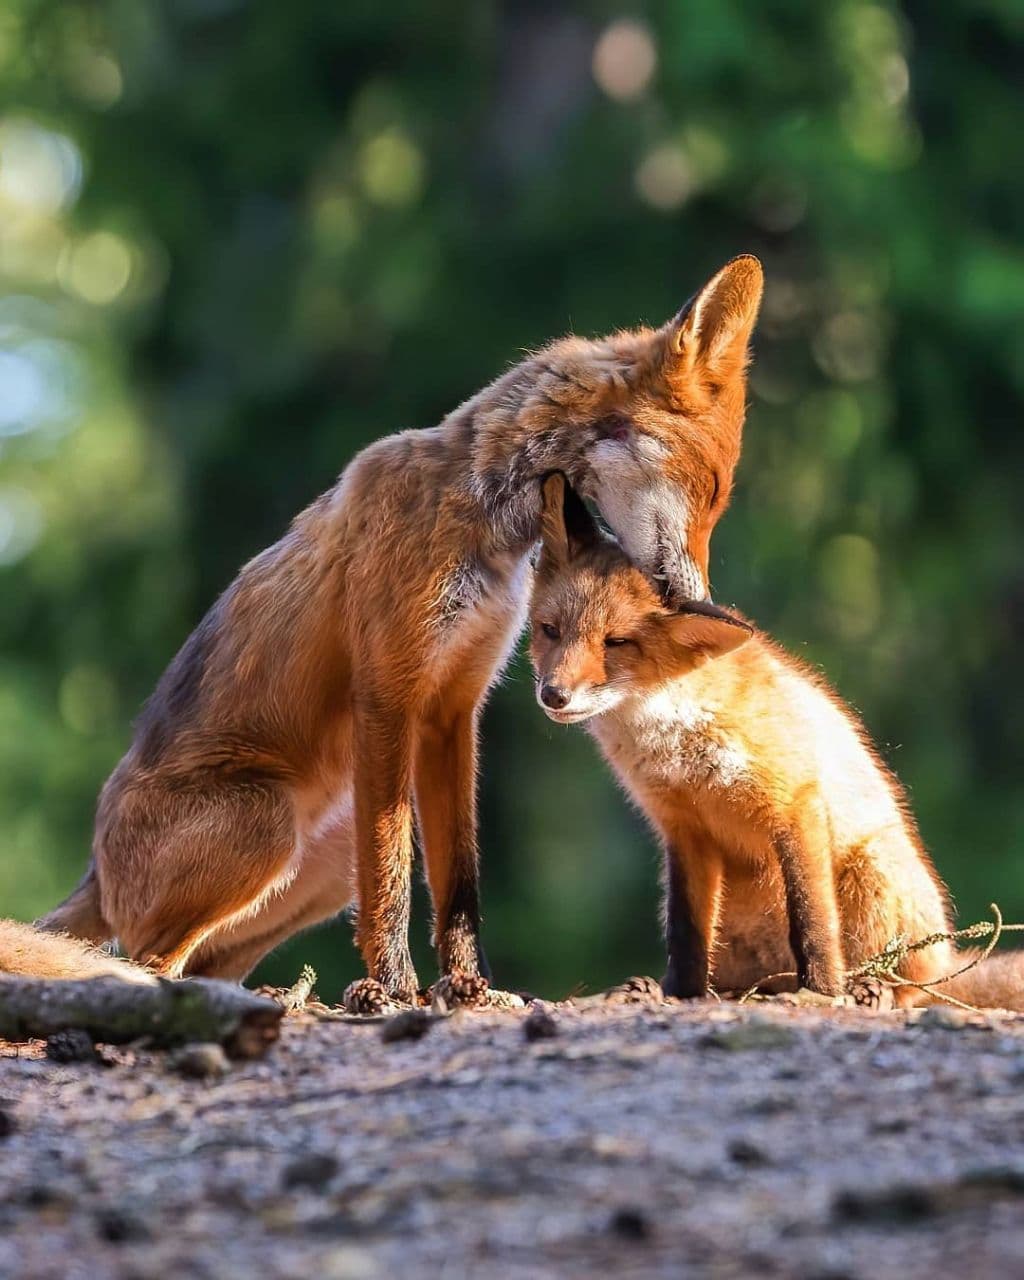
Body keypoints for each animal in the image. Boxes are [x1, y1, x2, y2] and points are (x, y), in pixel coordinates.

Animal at [32, 254, 762, 993]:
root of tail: (95, 871)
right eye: (710, 492)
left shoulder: (452, 708)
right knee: (145, 958)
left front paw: (472, 988)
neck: (484, 518)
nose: (700, 602)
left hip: (322, 861)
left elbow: (459, 881)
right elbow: (392, 874)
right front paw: (391, 986)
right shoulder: (388, 691)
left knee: (202, 960)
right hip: (267, 825)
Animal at [527, 473, 1024, 1008]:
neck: (677, 747)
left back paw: (868, 989)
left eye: (616, 643)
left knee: (912, 986)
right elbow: (686, 934)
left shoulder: (795, 802)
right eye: (549, 631)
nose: (553, 694)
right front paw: (679, 995)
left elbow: (812, 920)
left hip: (875, 881)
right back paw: (664, 989)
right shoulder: (683, 830)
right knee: (736, 980)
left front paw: (821, 991)